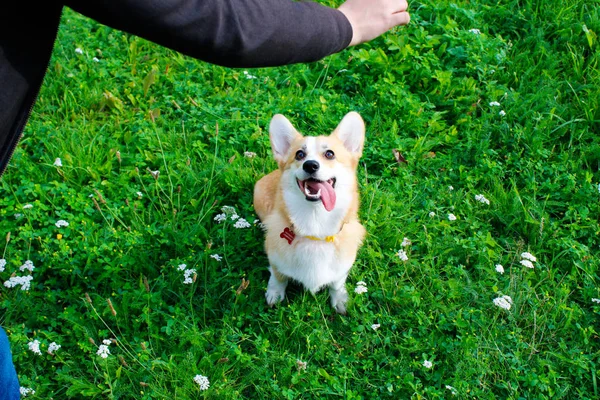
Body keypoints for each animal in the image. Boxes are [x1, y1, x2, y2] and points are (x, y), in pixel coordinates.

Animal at [253, 111, 366, 314]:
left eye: (330, 154)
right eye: (299, 154)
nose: (310, 165)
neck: (315, 226)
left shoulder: (342, 268)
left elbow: (337, 283)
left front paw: (340, 300)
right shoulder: (275, 261)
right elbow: (278, 277)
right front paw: (274, 294)